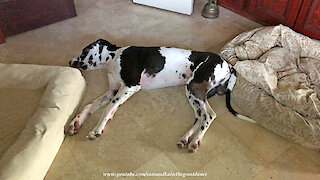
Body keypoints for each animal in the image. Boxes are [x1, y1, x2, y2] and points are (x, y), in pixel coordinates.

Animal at [68, 38, 255, 153]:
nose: (69, 62)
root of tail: (228, 64)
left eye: (84, 51)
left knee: (209, 116)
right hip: (196, 94)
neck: (115, 57)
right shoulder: (113, 91)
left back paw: (195, 141)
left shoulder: (130, 86)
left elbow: (107, 109)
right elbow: (90, 105)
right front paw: (76, 122)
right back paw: (186, 138)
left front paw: (96, 129)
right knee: (200, 117)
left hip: (194, 88)